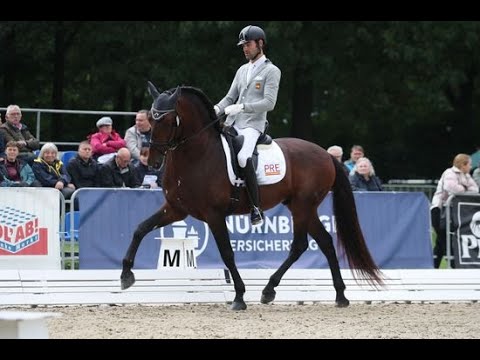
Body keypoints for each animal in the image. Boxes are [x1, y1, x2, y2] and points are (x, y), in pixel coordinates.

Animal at [122, 81, 384, 310]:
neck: (196, 155)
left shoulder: (214, 215)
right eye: (150, 119)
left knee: (300, 245)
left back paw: (270, 290)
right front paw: (126, 275)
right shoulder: (176, 209)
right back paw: (339, 295)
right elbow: (140, 229)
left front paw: (239, 296)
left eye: (168, 119)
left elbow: (227, 253)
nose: (153, 161)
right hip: (301, 207)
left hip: (303, 206)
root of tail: (325, 154)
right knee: (325, 242)